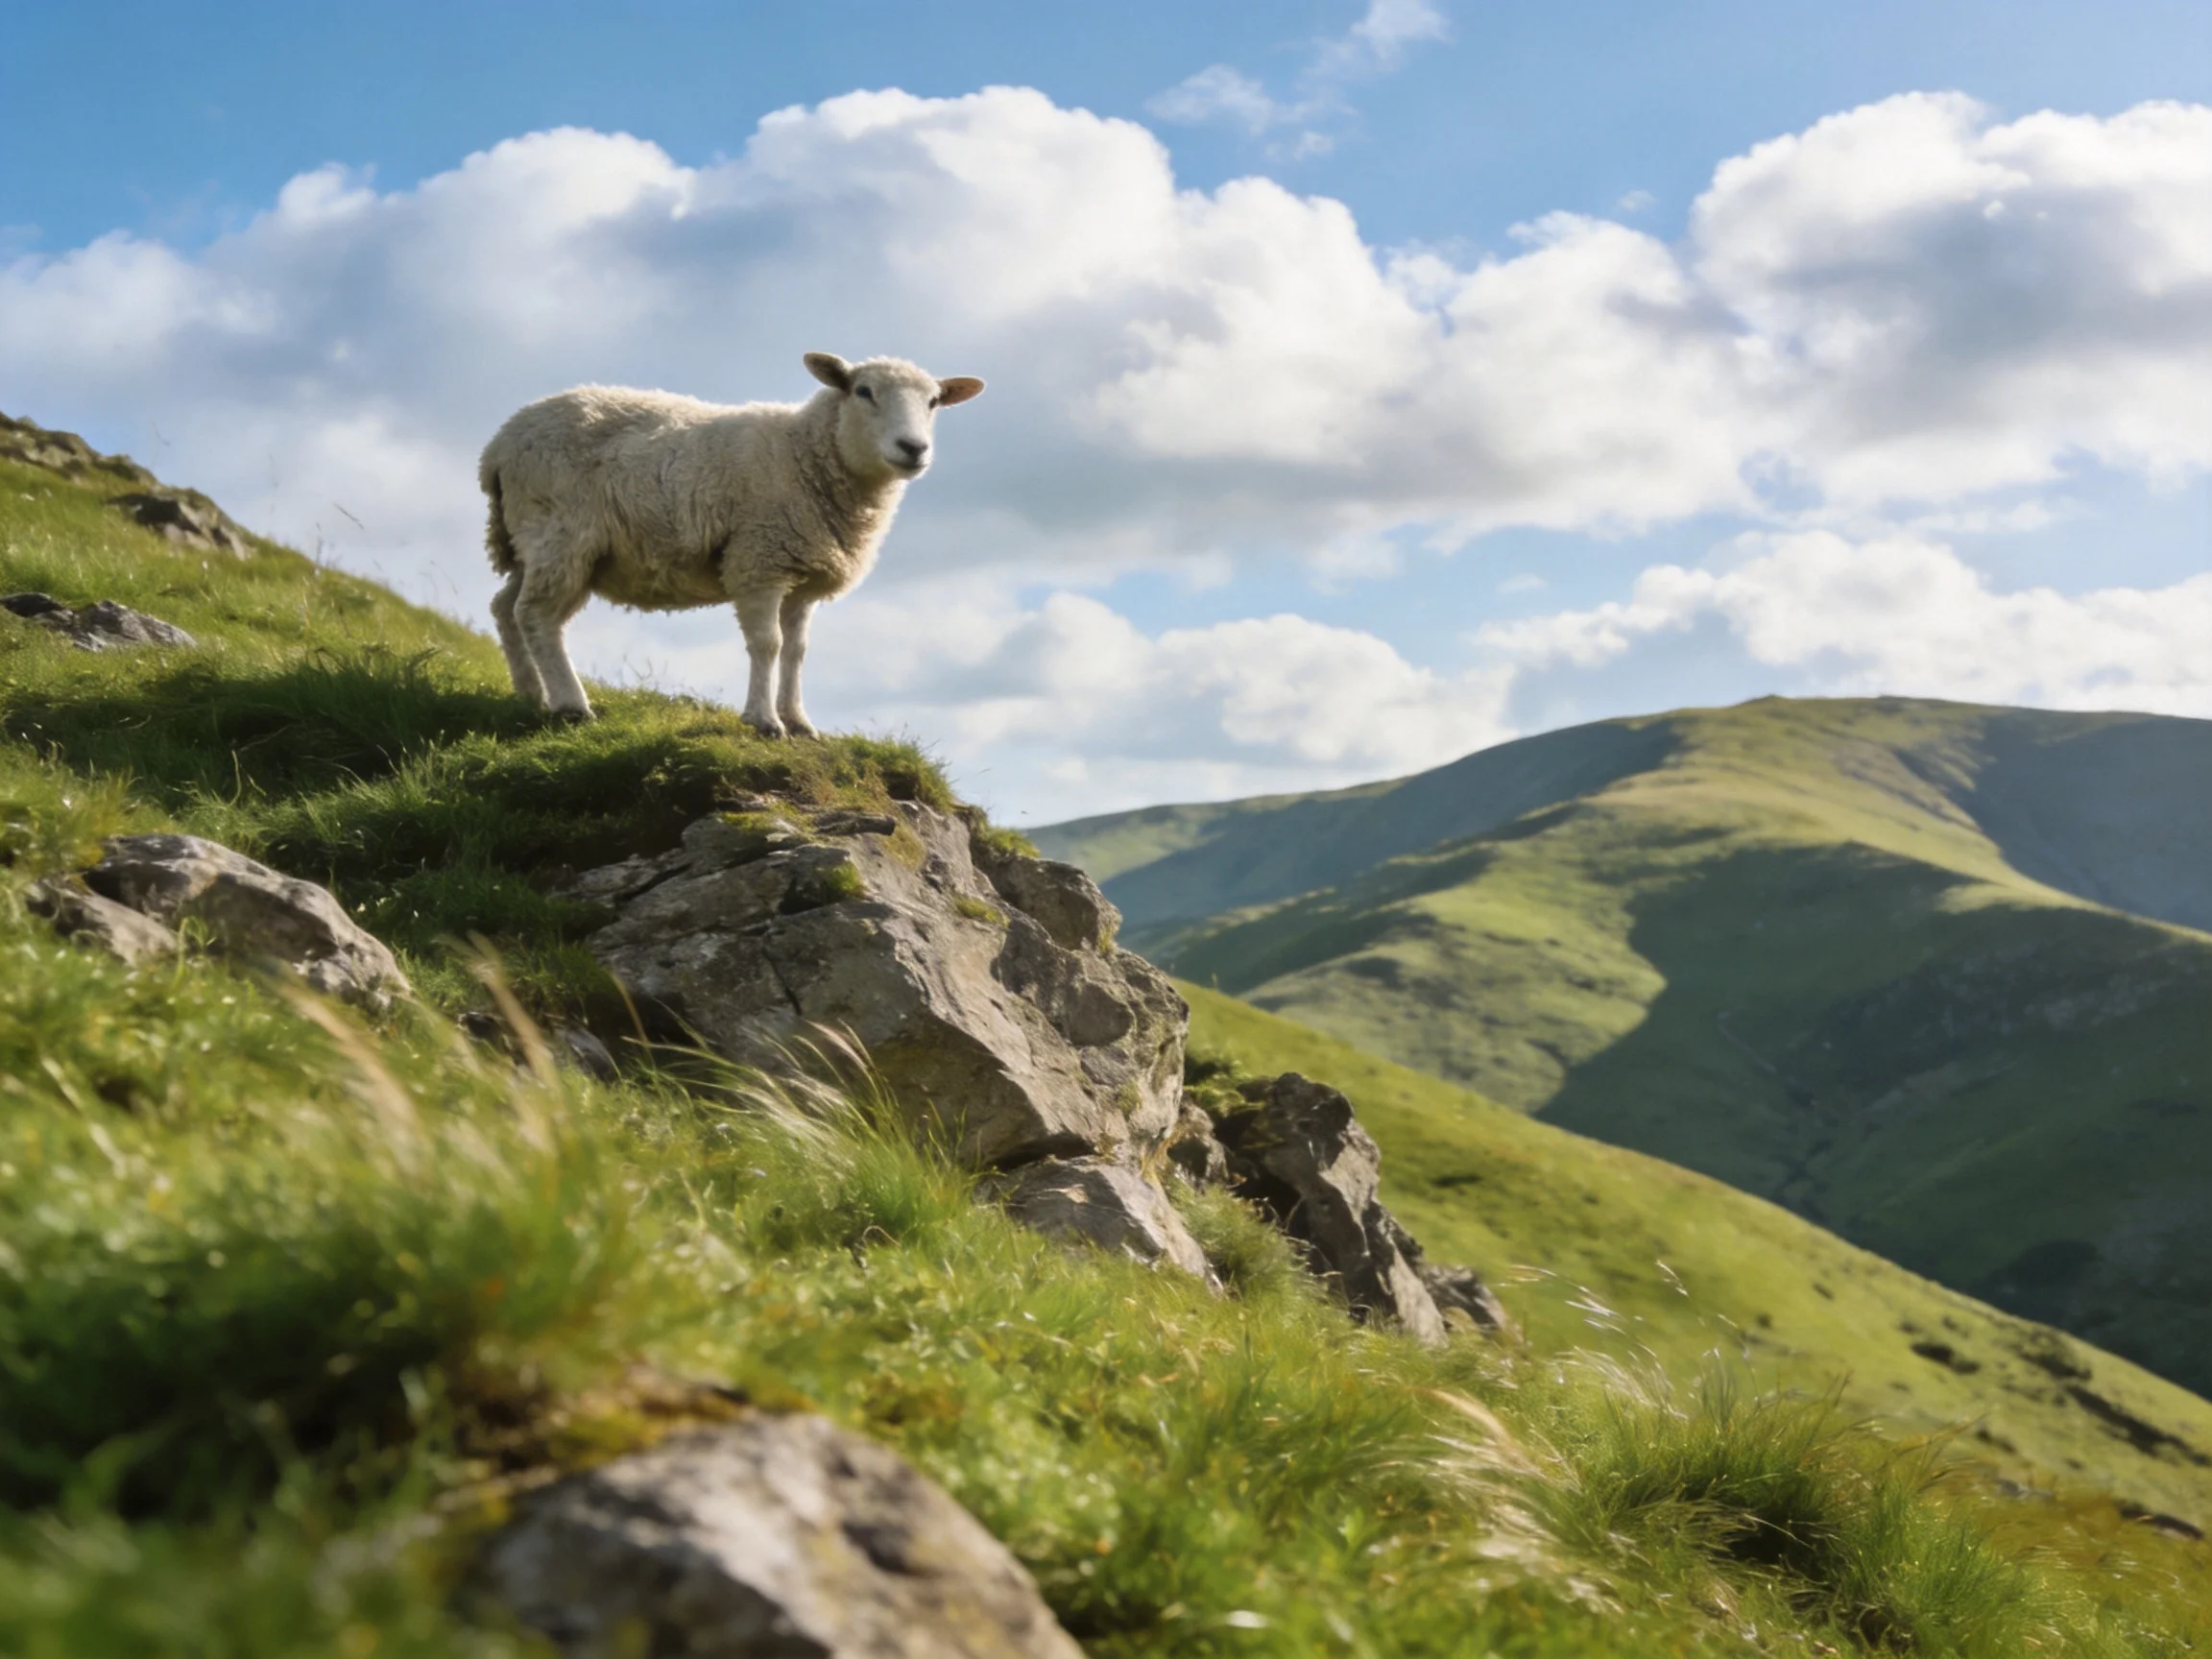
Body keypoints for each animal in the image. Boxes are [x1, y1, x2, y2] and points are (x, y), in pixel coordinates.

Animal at [479, 353, 984, 732]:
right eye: (863, 391)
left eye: (934, 401)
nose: (913, 448)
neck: (806, 452)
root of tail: (499, 445)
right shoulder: (759, 560)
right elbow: (767, 644)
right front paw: (764, 721)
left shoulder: (803, 575)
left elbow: (797, 652)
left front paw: (799, 721)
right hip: (561, 532)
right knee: (536, 614)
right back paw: (571, 705)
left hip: (535, 542)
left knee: (506, 608)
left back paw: (530, 693)